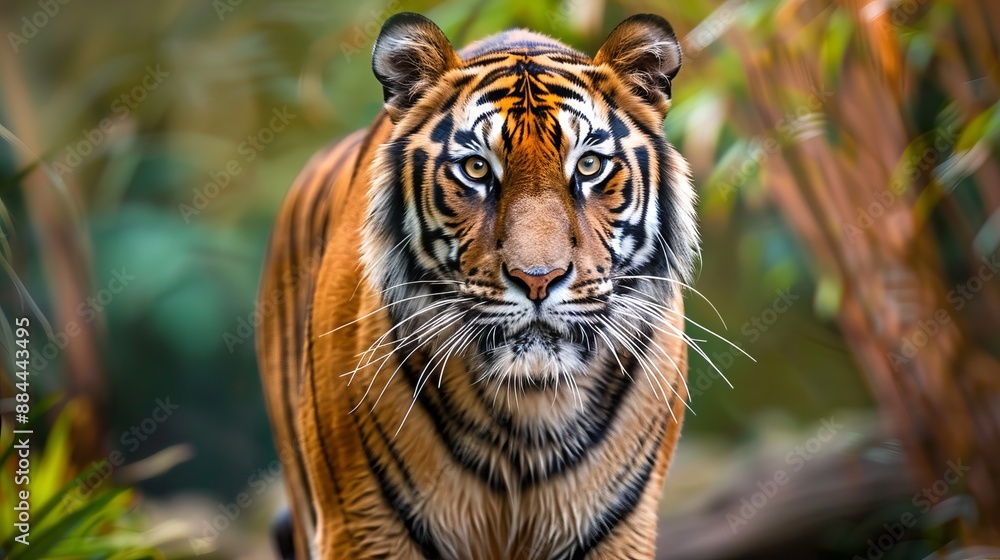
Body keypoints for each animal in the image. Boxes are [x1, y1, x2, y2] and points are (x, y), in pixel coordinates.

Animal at [256, 11, 698, 560]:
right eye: (476, 168)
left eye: (589, 165)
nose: (538, 279)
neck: (528, 409)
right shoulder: (362, 526)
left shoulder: (618, 530)